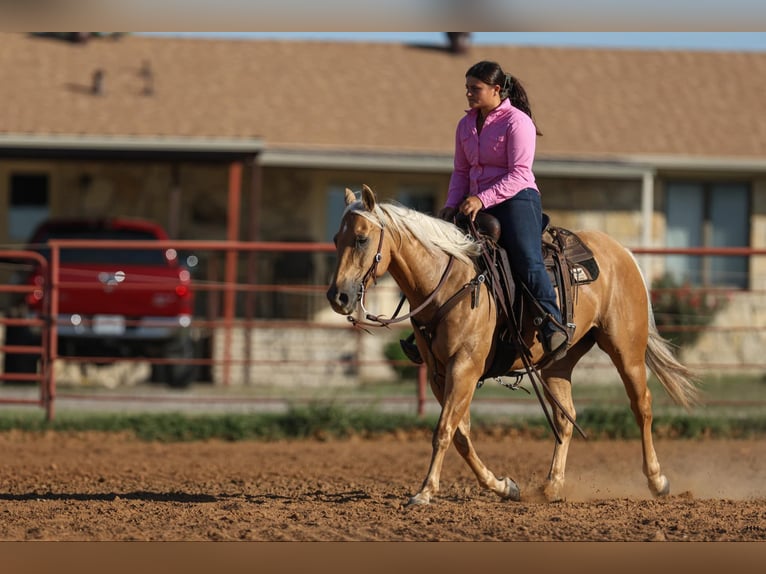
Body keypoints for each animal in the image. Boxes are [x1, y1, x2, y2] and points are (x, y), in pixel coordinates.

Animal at [326, 184, 699, 506]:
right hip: (557, 363)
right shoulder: (439, 374)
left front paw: (425, 492)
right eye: (335, 238)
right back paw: (551, 486)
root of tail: (623, 253)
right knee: (565, 417)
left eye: (361, 239)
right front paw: (504, 486)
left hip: (626, 350)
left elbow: (444, 430)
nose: (338, 296)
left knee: (642, 406)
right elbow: (461, 434)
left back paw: (657, 480)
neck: (452, 282)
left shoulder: (465, 367)